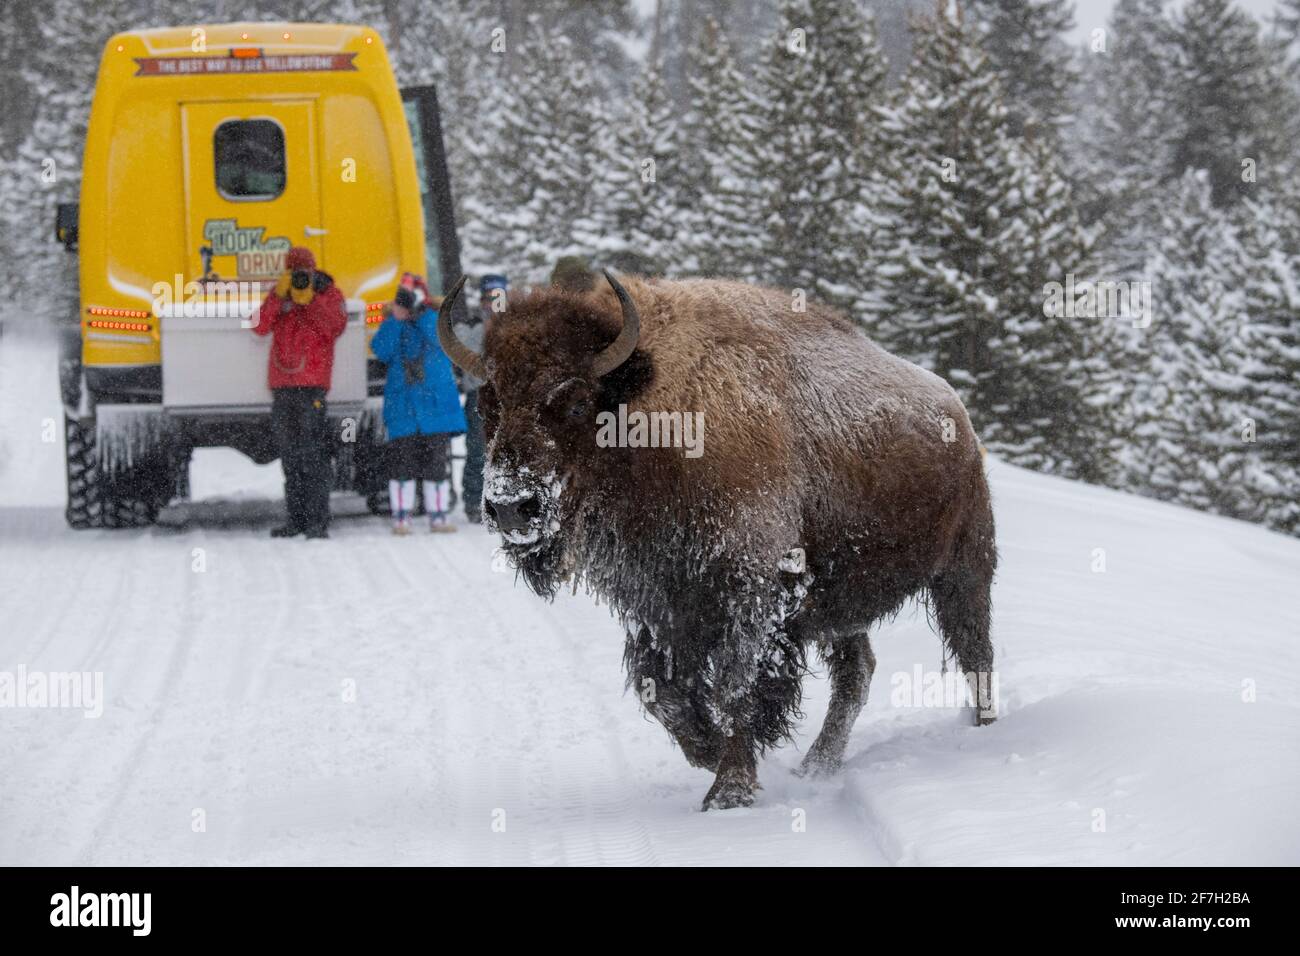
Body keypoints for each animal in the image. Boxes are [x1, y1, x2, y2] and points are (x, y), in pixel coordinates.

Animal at [438, 271, 997, 810]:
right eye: (487, 405)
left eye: (576, 402)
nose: (511, 506)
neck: (651, 413)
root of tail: (959, 416)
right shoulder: (655, 605)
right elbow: (661, 692)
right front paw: (710, 754)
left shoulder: (750, 593)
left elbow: (734, 686)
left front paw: (730, 789)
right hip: (842, 608)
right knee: (856, 673)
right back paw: (815, 767)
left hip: (964, 567)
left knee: (974, 652)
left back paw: (983, 731)